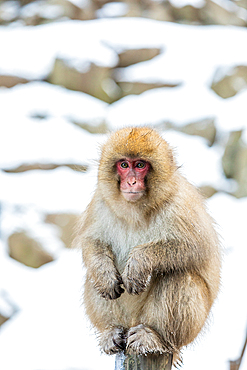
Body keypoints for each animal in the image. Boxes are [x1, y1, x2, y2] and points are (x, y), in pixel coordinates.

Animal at [75, 125, 220, 362]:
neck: (136, 210)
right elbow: (92, 242)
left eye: (140, 165)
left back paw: (155, 337)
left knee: (178, 275)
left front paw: (139, 263)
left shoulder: (179, 204)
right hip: (127, 321)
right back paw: (111, 331)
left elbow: (195, 248)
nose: (131, 182)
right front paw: (105, 275)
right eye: (124, 165)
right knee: (93, 278)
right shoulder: (100, 202)